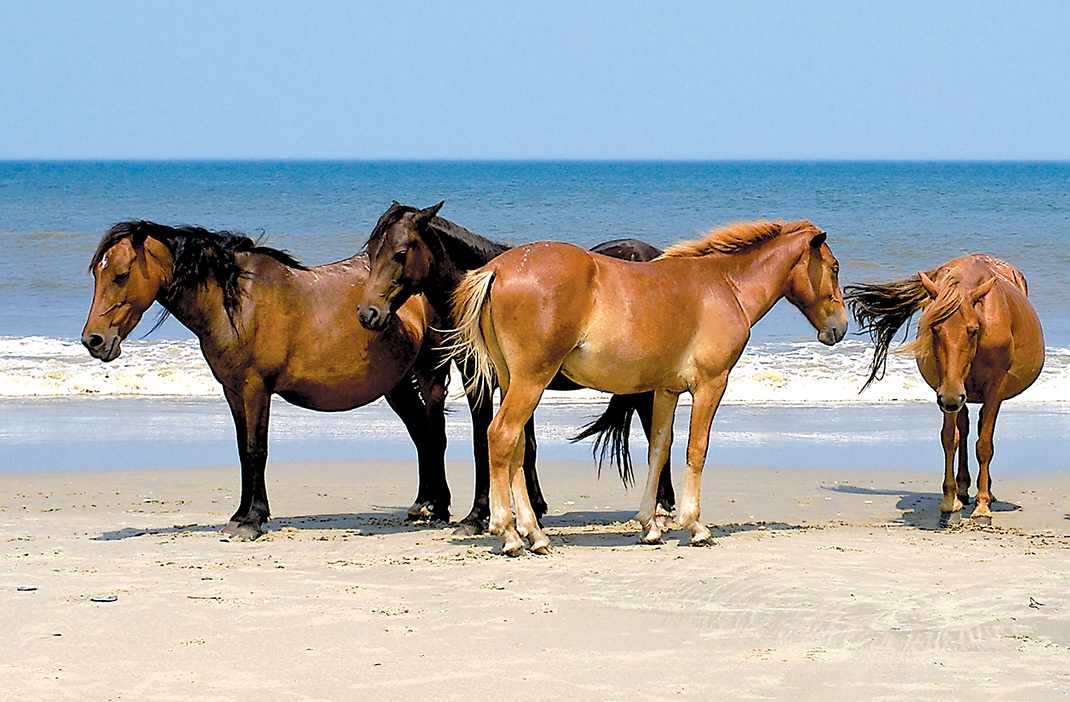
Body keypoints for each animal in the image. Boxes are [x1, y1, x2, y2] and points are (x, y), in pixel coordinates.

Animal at [82, 220, 450, 540]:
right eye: (98, 274)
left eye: (121, 275)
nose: (93, 341)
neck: (237, 303)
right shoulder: (232, 392)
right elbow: (243, 451)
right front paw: (239, 515)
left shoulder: (256, 389)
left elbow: (256, 450)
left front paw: (253, 520)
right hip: (396, 385)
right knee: (421, 436)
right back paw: (421, 504)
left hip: (430, 376)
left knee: (435, 436)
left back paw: (441, 508)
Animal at [356, 201, 675, 535]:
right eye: (371, 253)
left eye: (401, 252)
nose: (368, 314)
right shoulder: (500, 382)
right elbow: (523, 446)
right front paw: (533, 509)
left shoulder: (491, 384)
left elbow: (484, 444)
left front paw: (477, 516)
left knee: (657, 435)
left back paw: (663, 509)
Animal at [446, 219, 847, 554]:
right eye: (834, 268)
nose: (839, 328)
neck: (725, 285)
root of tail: (497, 268)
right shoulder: (710, 385)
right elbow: (696, 449)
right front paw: (695, 526)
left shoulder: (666, 390)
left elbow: (659, 449)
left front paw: (649, 527)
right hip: (531, 381)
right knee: (501, 436)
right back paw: (510, 534)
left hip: (511, 380)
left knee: (513, 448)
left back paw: (535, 534)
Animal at [845, 254, 1044, 523]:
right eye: (934, 328)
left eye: (973, 329)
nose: (950, 398)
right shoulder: (947, 390)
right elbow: (950, 439)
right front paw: (950, 503)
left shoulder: (992, 389)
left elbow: (984, 445)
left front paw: (983, 507)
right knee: (965, 429)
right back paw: (962, 490)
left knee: (980, 431)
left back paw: (985, 493)